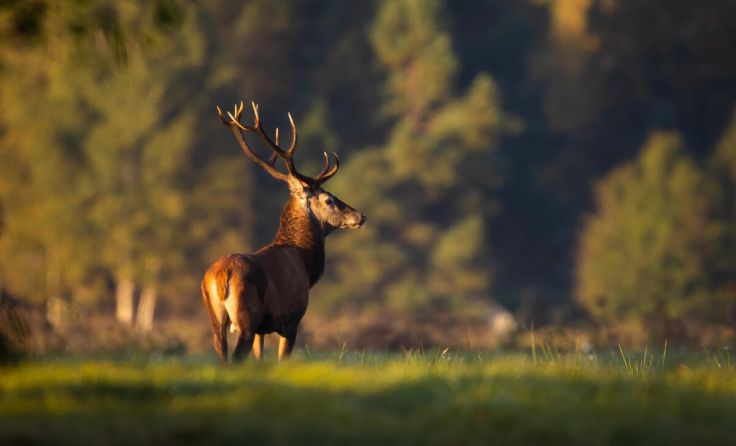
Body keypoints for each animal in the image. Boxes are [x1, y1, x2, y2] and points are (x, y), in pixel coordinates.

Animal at [201, 101, 365, 363]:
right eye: (329, 200)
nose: (360, 215)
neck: (305, 263)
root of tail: (220, 277)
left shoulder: (262, 329)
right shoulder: (292, 318)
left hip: (217, 318)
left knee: (222, 353)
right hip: (245, 317)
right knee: (236, 356)